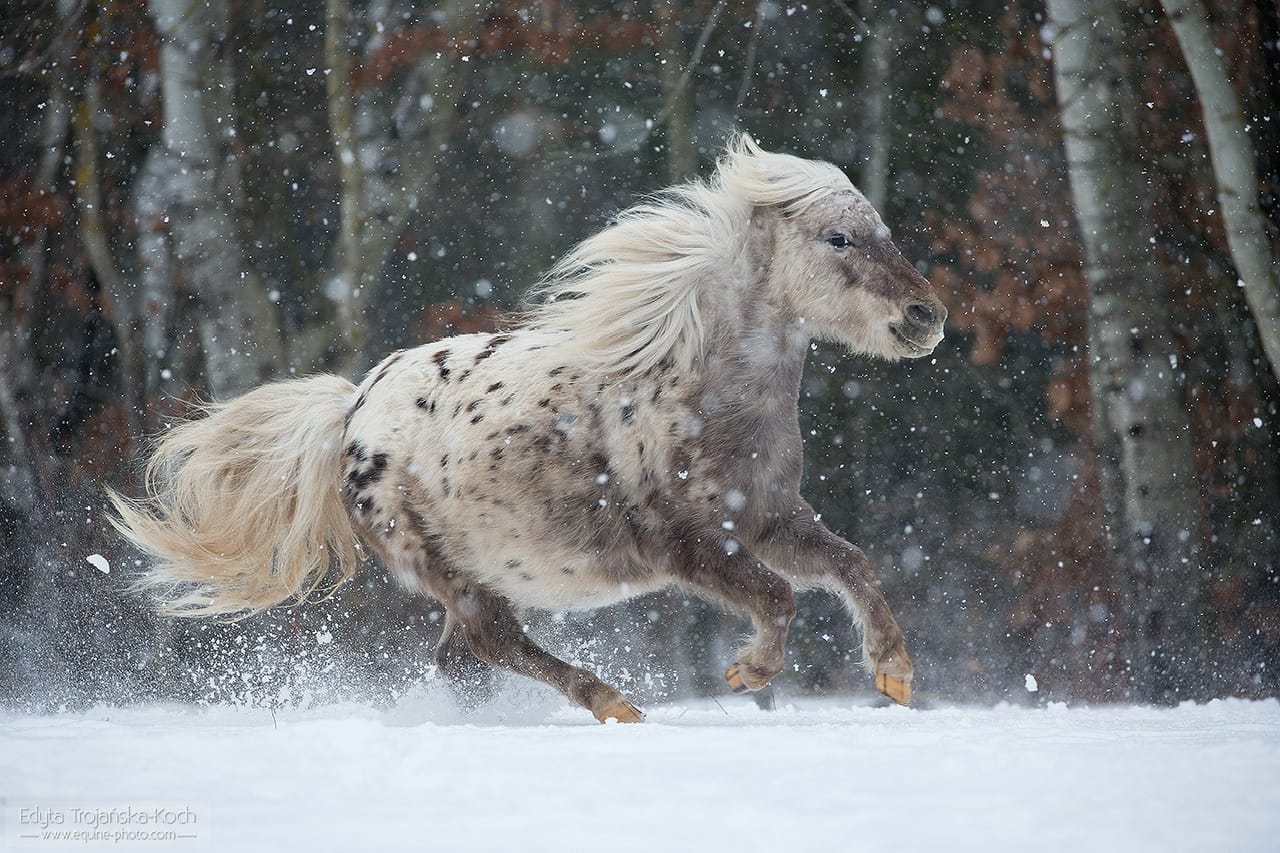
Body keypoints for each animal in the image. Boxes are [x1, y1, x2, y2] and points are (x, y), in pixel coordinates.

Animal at [110, 134, 947, 723]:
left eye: (881, 230)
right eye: (838, 239)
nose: (926, 316)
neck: (702, 396)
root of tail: (350, 409)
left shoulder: (770, 519)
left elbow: (851, 565)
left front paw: (895, 671)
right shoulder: (689, 545)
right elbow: (779, 598)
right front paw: (751, 671)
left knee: (463, 659)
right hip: (449, 573)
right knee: (493, 642)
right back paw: (613, 703)